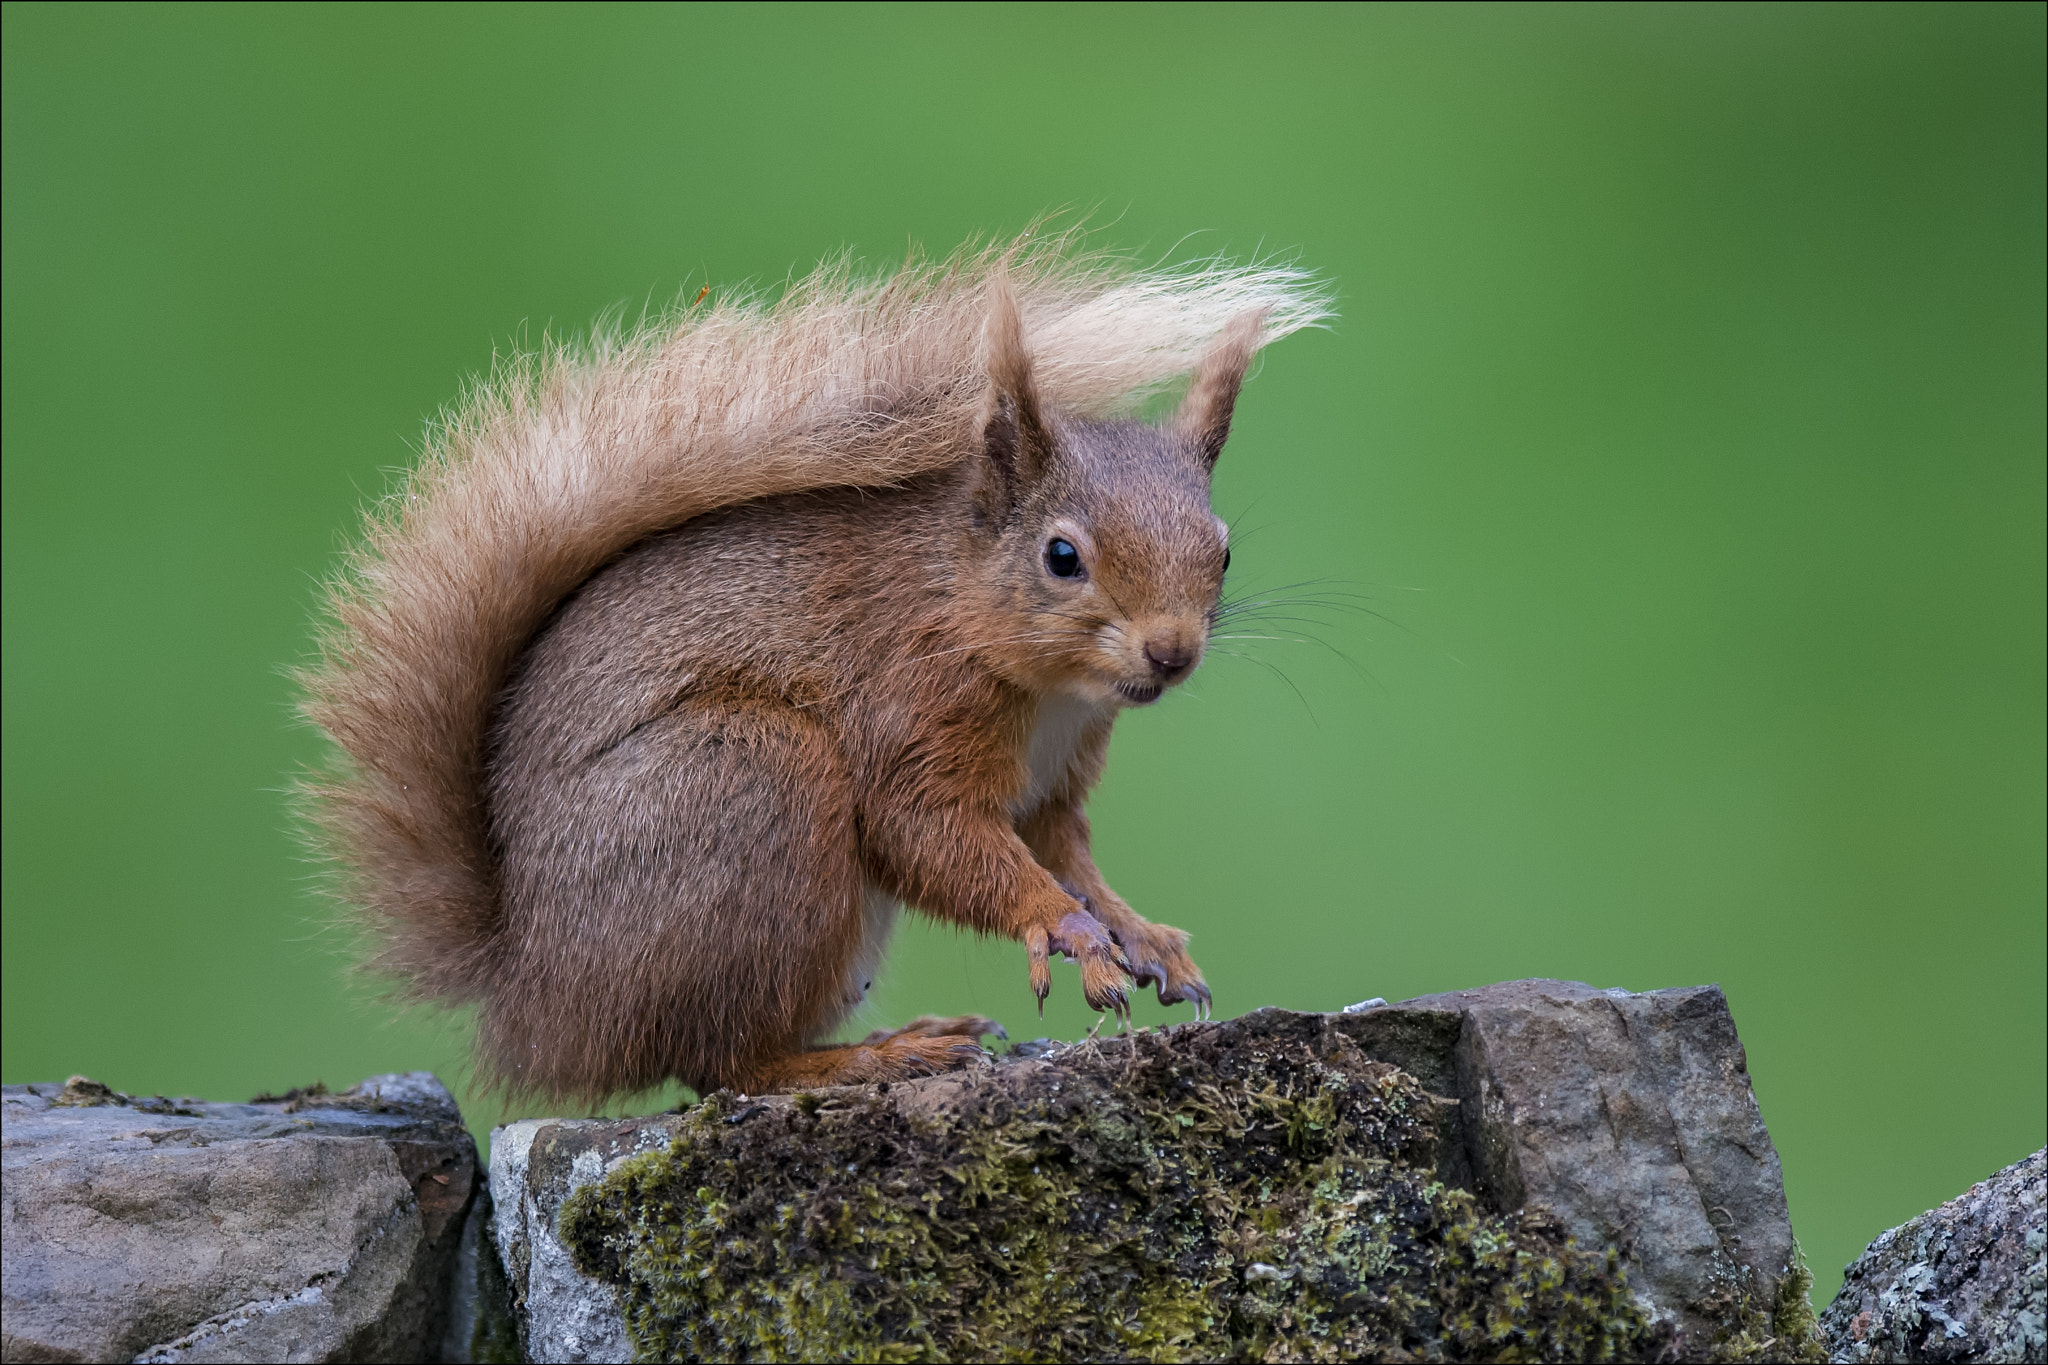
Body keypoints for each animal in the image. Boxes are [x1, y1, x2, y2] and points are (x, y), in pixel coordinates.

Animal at [303, 237, 1327, 1096]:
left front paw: (1140, 933)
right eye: (1063, 556)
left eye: (1223, 550)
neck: (1048, 690)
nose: (1171, 650)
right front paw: (1067, 929)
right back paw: (872, 1056)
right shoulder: (908, 703)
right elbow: (928, 834)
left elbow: (1067, 853)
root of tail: (533, 1001)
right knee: (726, 1063)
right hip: (756, 782)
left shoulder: (1051, 786)